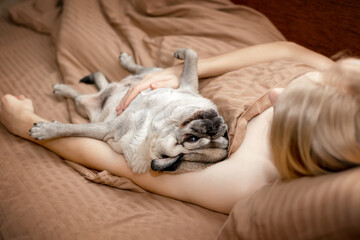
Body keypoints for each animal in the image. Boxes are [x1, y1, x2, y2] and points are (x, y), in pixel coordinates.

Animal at [28, 48, 228, 172]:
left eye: (192, 139)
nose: (213, 127)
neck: (163, 125)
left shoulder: (108, 128)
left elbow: (71, 128)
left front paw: (46, 130)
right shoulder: (187, 84)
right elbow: (193, 55)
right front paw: (182, 53)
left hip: (83, 107)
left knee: (78, 97)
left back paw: (64, 90)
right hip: (152, 73)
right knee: (133, 71)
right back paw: (125, 62)